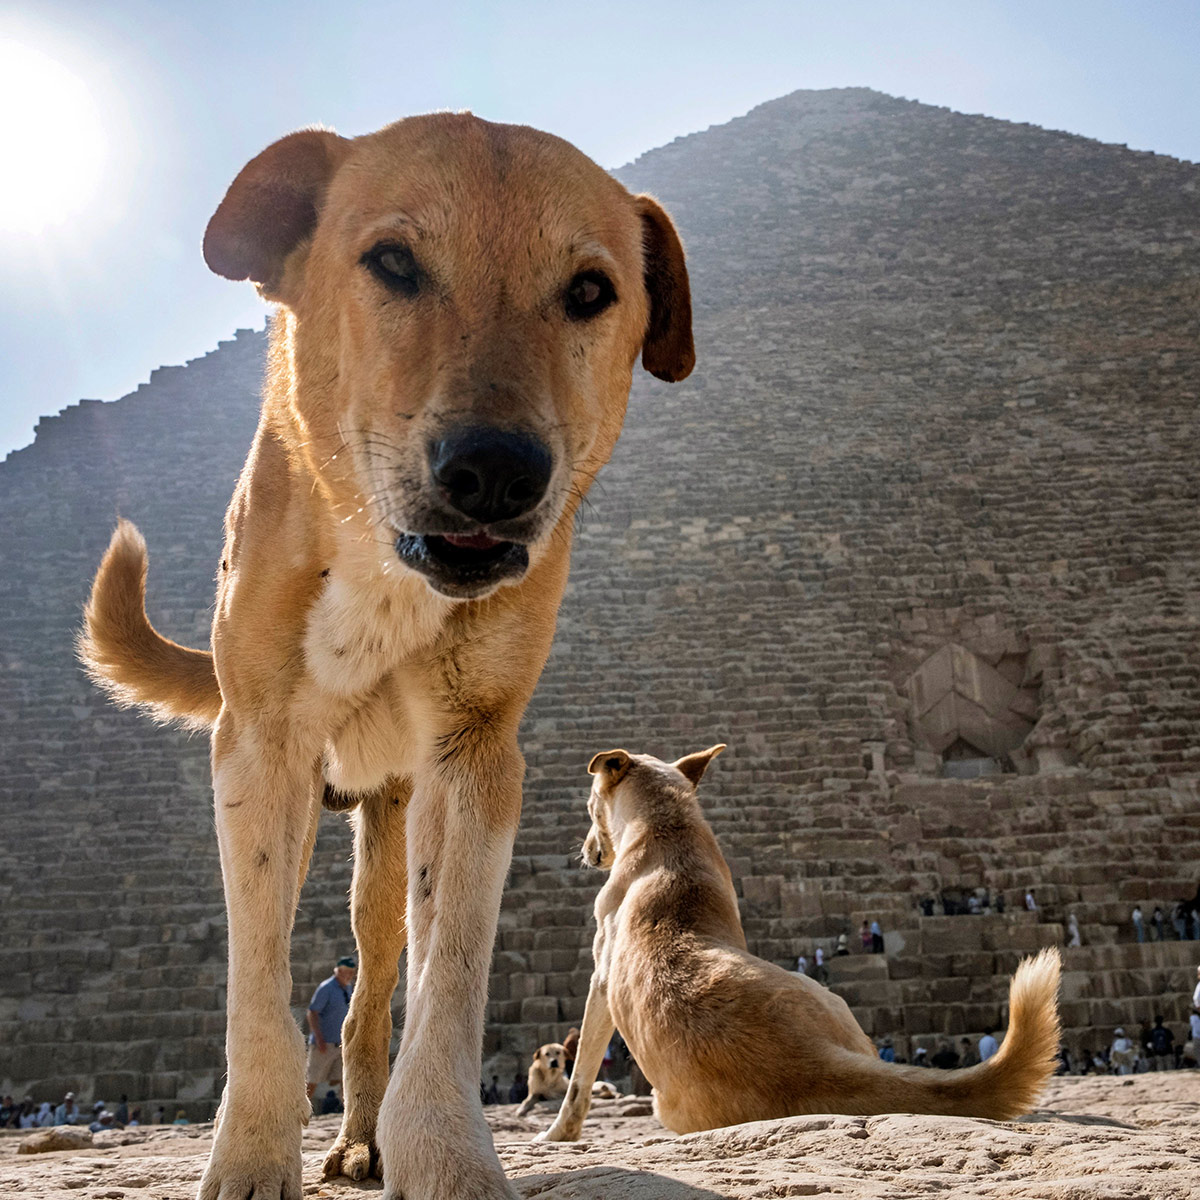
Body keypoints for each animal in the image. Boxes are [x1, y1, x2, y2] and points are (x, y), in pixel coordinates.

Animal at [79, 114, 696, 1200]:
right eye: (393, 262)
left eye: (591, 290)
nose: (494, 470)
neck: (376, 559)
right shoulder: (257, 750)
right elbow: (258, 990)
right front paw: (248, 1156)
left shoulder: (475, 758)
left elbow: (447, 983)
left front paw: (445, 1155)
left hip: (388, 827)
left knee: (373, 988)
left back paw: (365, 1140)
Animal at [540, 739, 1065, 1142]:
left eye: (589, 805)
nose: (587, 852)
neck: (666, 826)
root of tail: (809, 1064)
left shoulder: (600, 982)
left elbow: (579, 1076)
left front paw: (558, 1134)